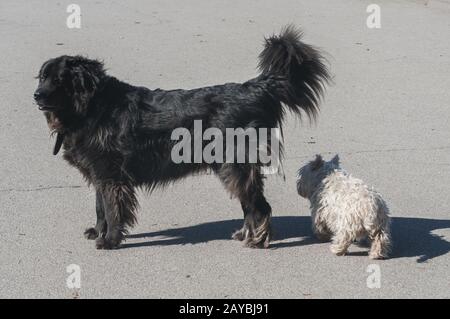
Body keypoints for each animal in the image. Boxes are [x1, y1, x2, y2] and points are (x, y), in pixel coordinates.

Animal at [34, 25, 326, 250]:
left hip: (234, 165)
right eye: (42, 77)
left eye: (58, 80)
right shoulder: (100, 174)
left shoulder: (111, 176)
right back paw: (246, 234)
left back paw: (257, 240)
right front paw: (98, 231)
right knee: (250, 204)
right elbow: (100, 208)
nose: (36, 95)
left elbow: (113, 209)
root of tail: (256, 87)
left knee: (259, 206)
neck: (92, 105)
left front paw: (110, 240)